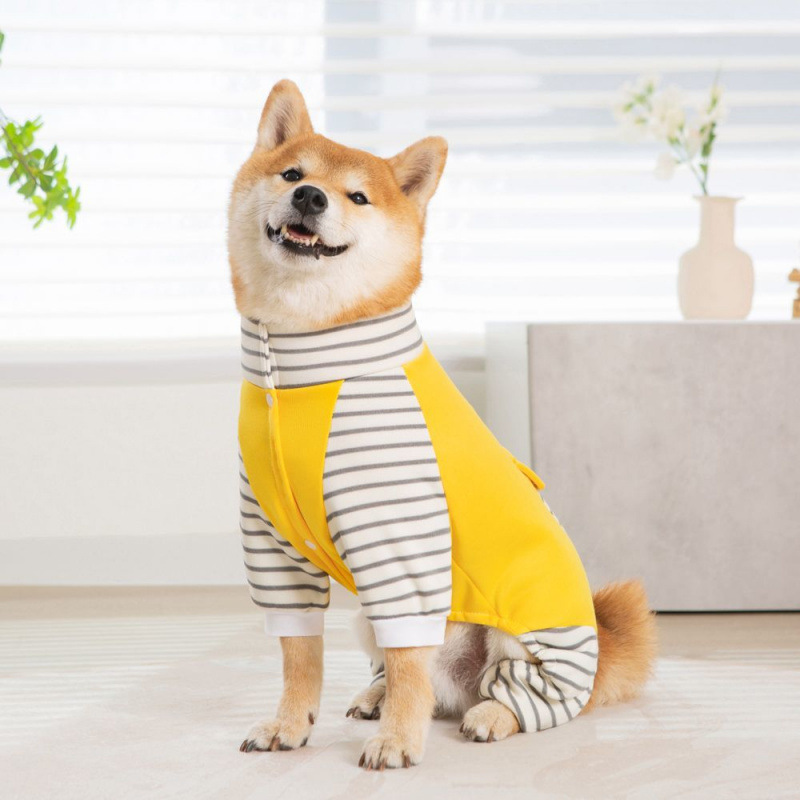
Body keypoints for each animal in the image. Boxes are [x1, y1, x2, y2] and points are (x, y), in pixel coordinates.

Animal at [227, 78, 657, 770]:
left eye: (357, 197)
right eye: (292, 173)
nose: (311, 197)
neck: (296, 362)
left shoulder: (401, 542)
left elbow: (408, 658)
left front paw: (398, 741)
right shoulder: (273, 543)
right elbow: (301, 657)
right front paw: (290, 725)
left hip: (528, 629)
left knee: (530, 697)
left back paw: (490, 714)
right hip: (367, 619)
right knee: (417, 677)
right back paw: (378, 697)